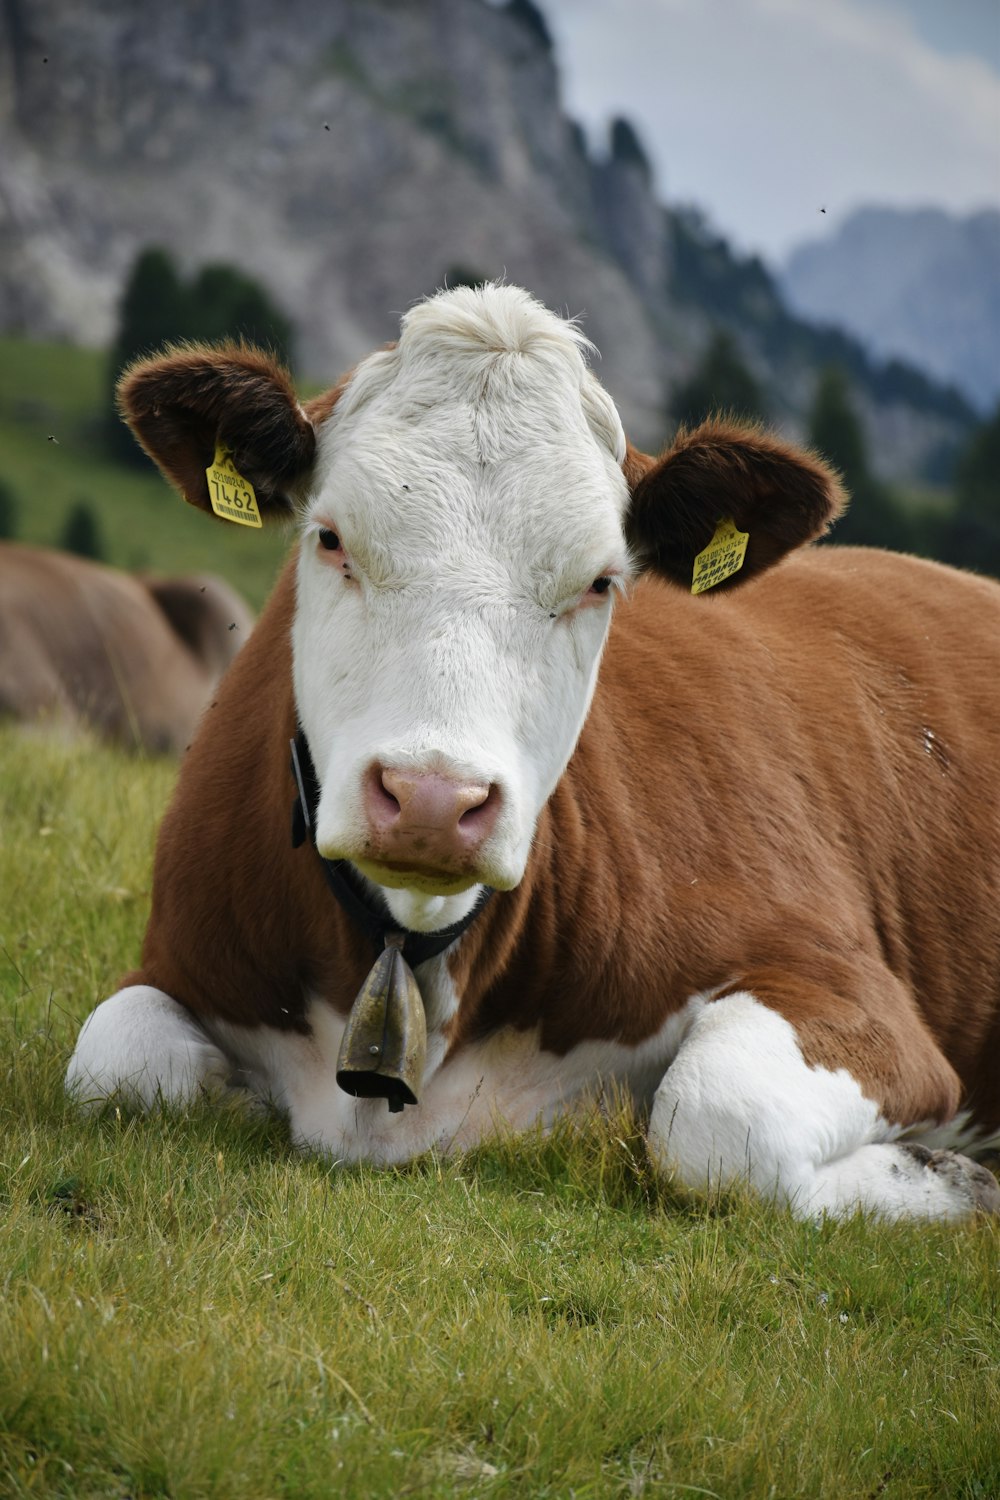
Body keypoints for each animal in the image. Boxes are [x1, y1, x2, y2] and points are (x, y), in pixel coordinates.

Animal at [64, 282, 1000, 1218]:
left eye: (601, 581)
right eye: (330, 538)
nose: (432, 800)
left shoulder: (846, 987)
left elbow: (717, 1120)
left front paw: (955, 1180)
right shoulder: (179, 955)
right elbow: (116, 1062)